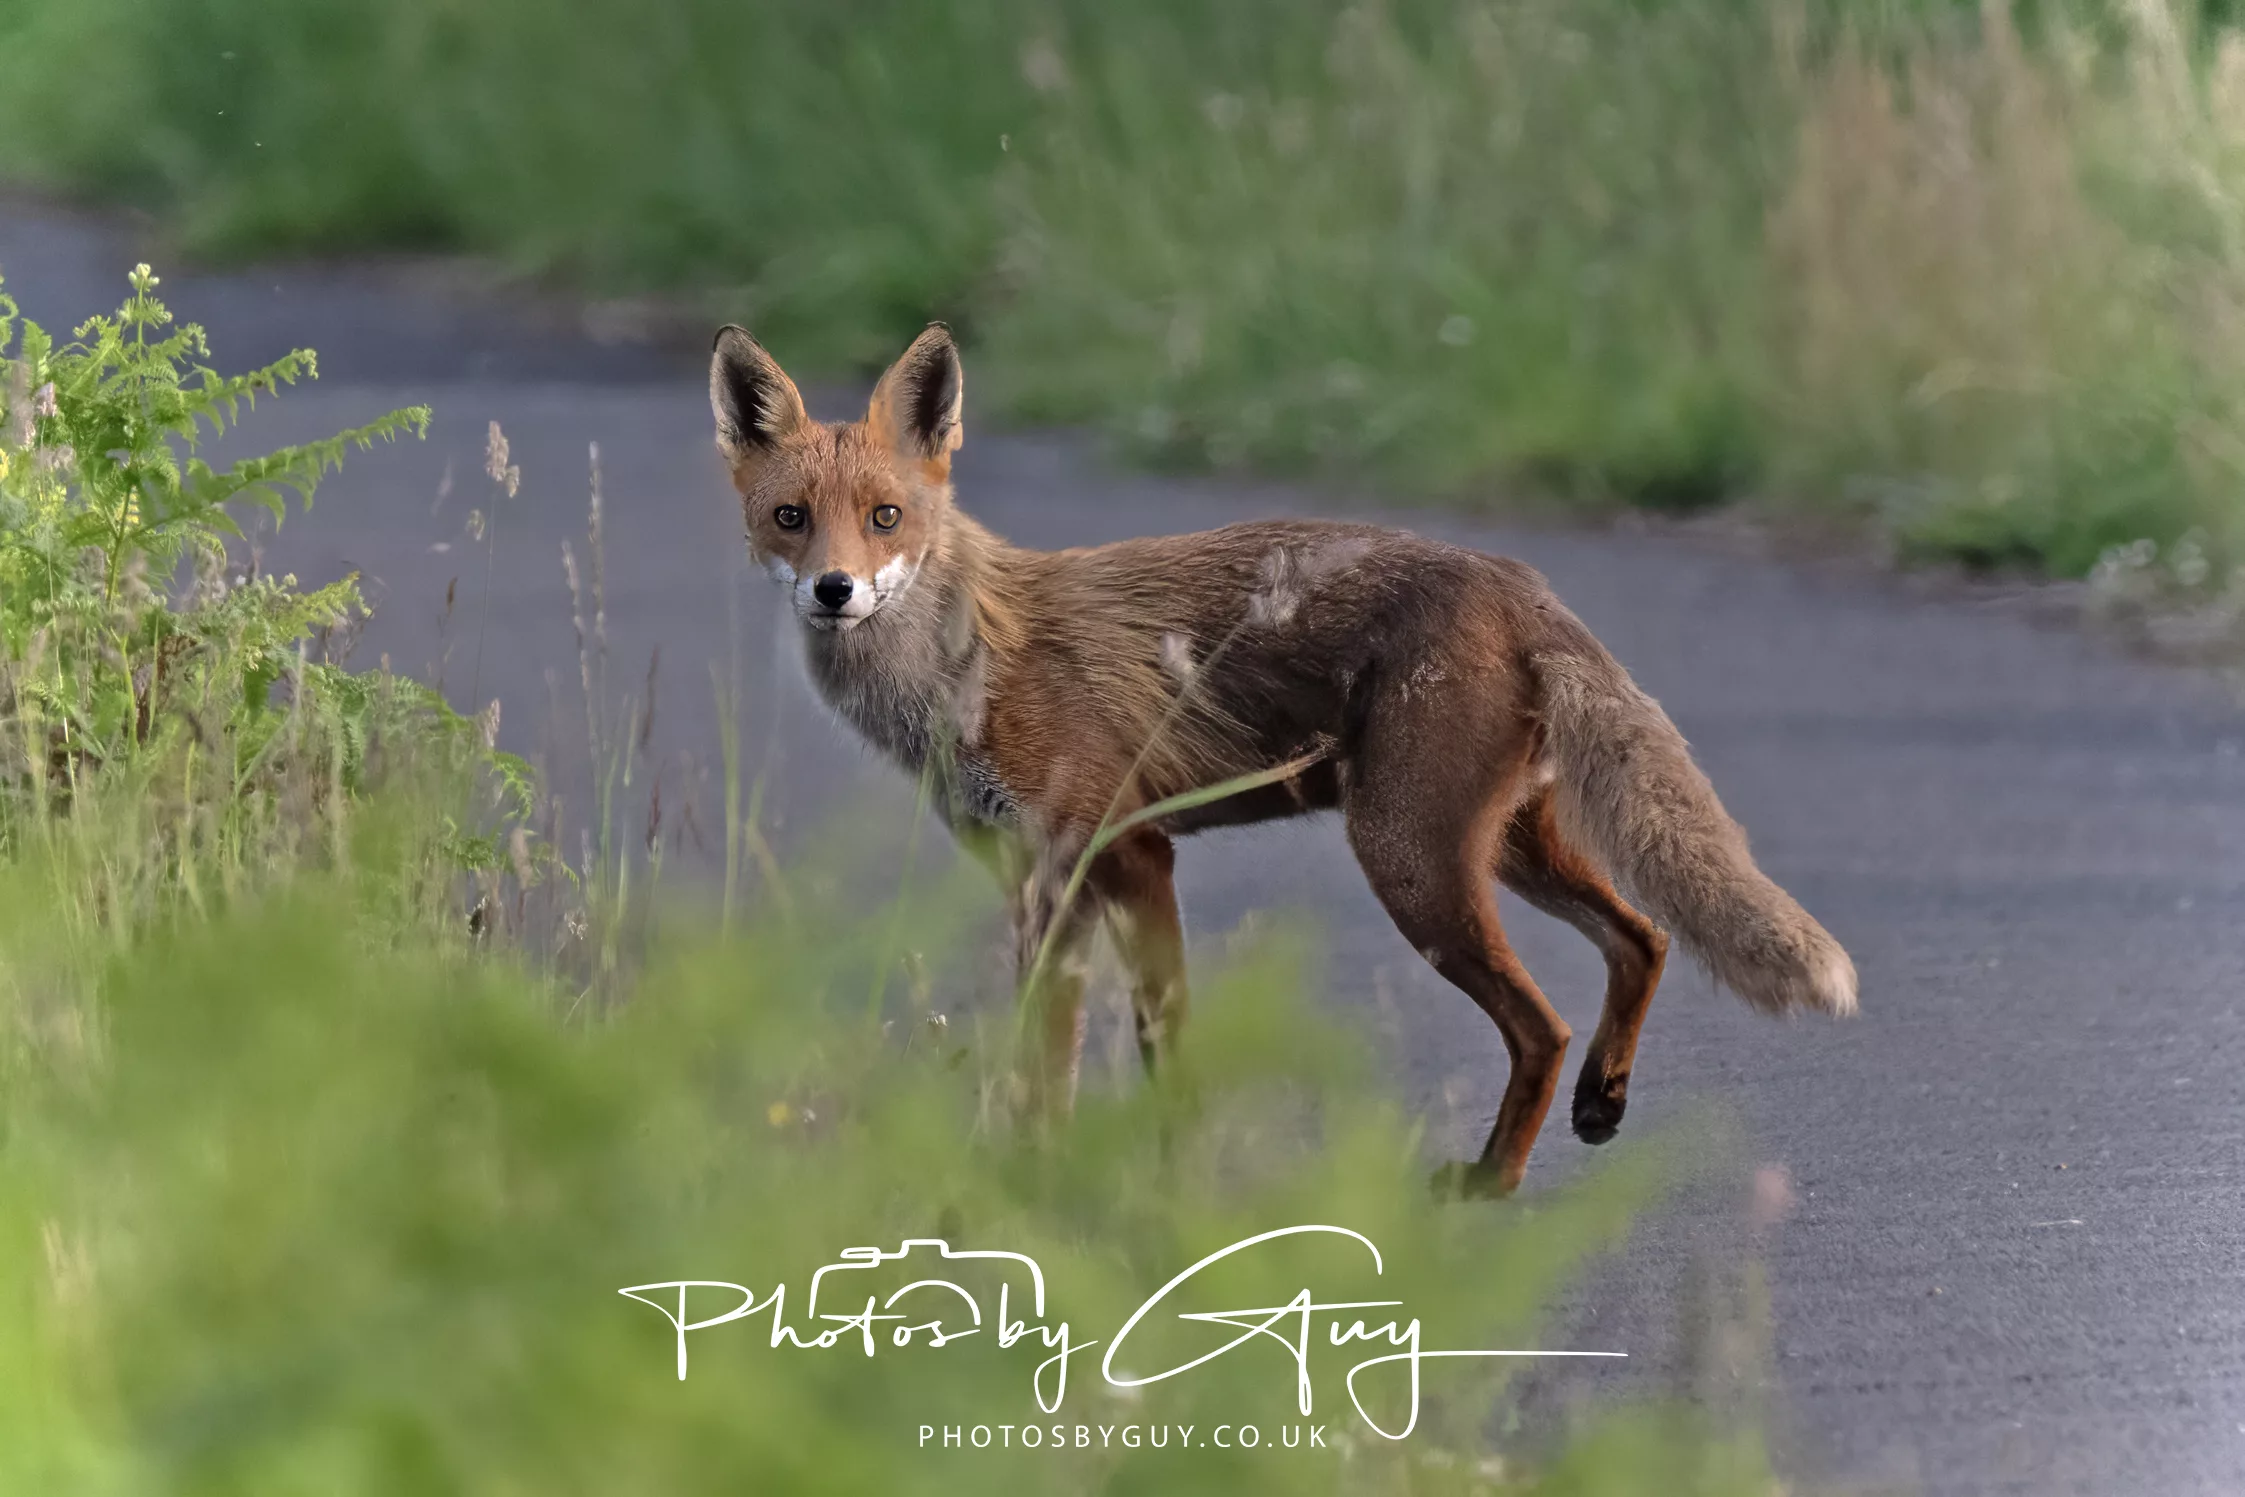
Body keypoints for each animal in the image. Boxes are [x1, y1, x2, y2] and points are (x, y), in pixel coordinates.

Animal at [710, 321, 1856, 1196]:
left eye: (885, 518)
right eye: (791, 519)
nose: (835, 592)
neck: (972, 666)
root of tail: (1515, 580)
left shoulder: (1124, 854)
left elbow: (1157, 1043)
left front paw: (1155, 1183)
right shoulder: (1035, 883)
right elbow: (1048, 1059)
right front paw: (1033, 1174)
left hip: (1407, 860)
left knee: (1542, 1024)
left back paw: (1490, 1181)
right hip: (1504, 848)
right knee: (1642, 938)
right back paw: (1600, 1105)